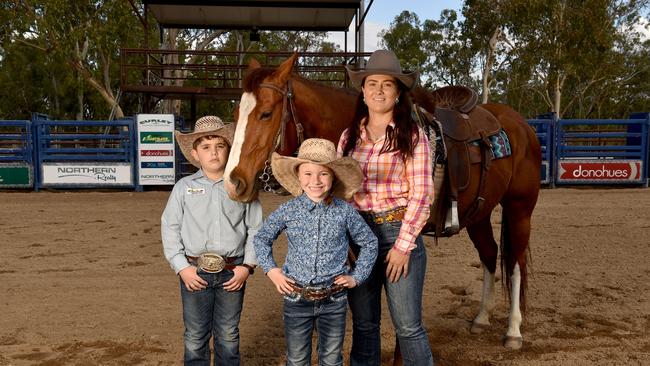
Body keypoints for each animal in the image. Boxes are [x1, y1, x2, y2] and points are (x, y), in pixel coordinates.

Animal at [225, 55, 540, 358]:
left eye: (266, 113)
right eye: (236, 114)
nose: (233, 182)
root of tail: (522, 125)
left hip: (519, 210)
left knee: (515, 263)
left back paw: (514, 331)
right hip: (479, 215)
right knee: (489, 254)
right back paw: (481, 318)